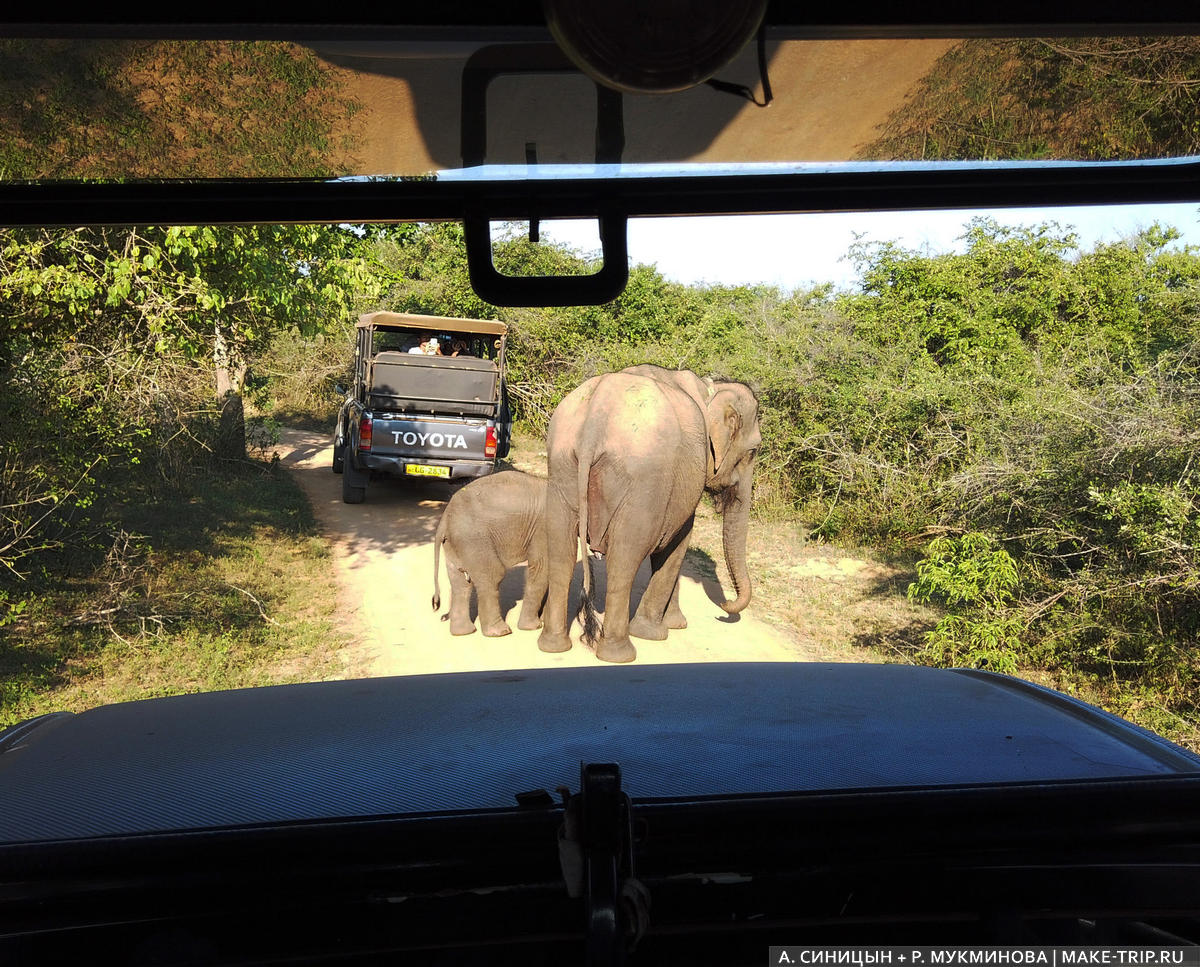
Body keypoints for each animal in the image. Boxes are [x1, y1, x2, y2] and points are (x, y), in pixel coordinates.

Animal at [434, 472, 549, 638]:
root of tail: (444, 520)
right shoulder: (544, 528)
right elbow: (542, 567)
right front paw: (534, 626)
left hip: (456, 544)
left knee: (460, 583)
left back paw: (463, 632)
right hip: (474, 540)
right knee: (493, 574)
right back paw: (501, 632)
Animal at [537, 364, 758, 667]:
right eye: (754, 451)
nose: (724, 607)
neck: (709, 389)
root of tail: (595, 419)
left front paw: (674, 624)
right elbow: (678, 541)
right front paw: (659, 631)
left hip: (561, 466)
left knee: (562, 550)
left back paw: (553, 646)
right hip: (643, 482)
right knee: (625, 556)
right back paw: (619, 654)